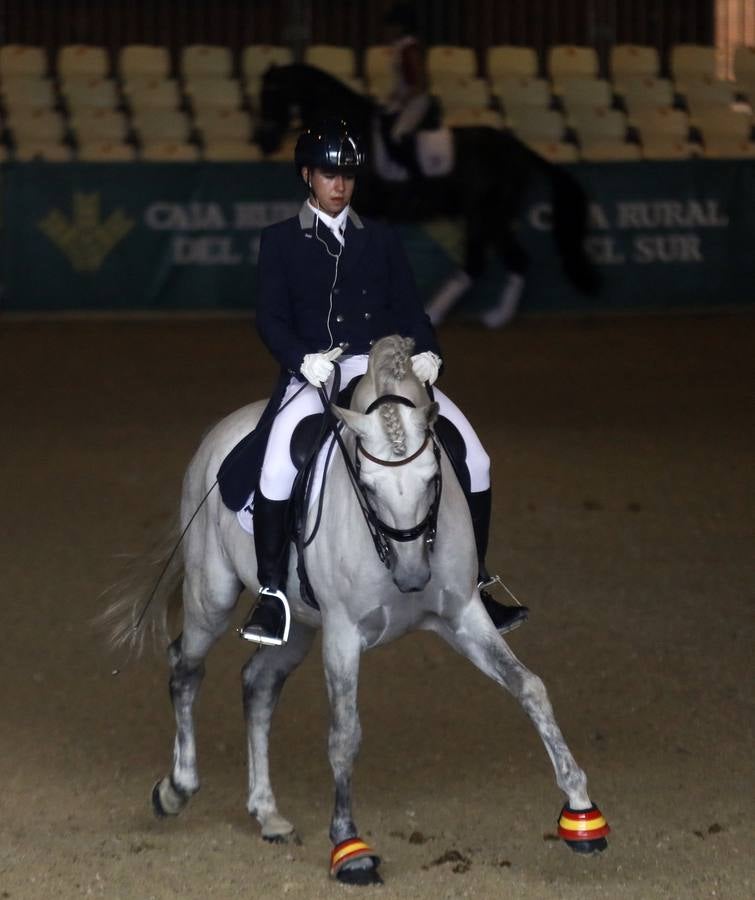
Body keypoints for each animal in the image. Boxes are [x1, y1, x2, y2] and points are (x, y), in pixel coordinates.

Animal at [105, 336, 608, 884]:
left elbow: (529, 687)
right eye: (366, 484)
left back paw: (267, 813)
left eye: (434, 478)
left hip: (300, 626)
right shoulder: (344, 634)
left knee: (259, 682)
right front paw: (351, 849)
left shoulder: (463, 616)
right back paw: (174, 790)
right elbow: (345, 735)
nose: (412, 578)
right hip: (212, 595)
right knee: (186, 666)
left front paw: (582, 814)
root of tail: (223, 430)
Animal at [256, 66, 600, 326]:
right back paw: (487, 316)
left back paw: (469, 316)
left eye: (274, 93)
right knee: (503, 260)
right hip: (486, 214)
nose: (265, 141)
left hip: (486, 212)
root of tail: (518, 148)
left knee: (493, 261)